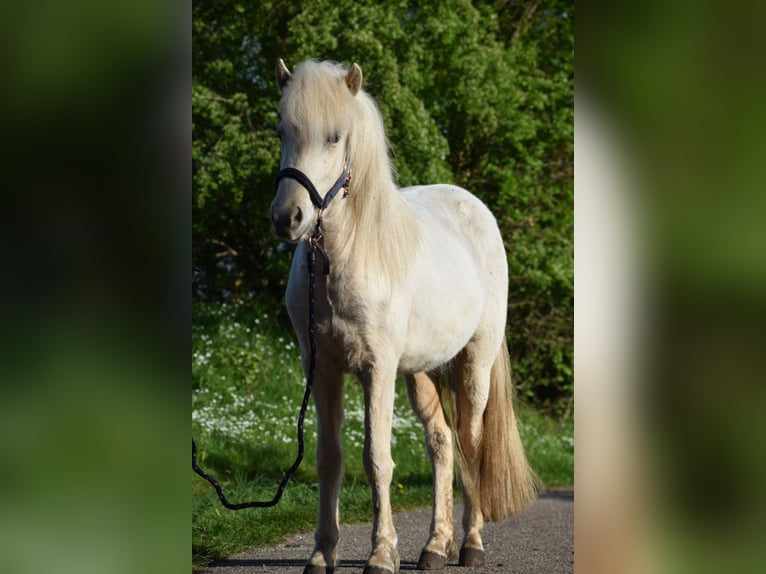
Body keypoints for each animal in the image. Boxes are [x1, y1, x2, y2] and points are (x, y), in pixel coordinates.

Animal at [272, 59, 536, 574]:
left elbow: (377, 459)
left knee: (471, 444)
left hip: (474, 364)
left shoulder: (378, 370)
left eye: (334, 137)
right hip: (422, 372)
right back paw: (435, 545)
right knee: (442, 444)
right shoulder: (323, 370)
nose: (288, 217)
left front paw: (381, 553)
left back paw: (470, 543)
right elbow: (329, 460)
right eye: (282, 131)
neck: (345, 258)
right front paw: (322, 553)